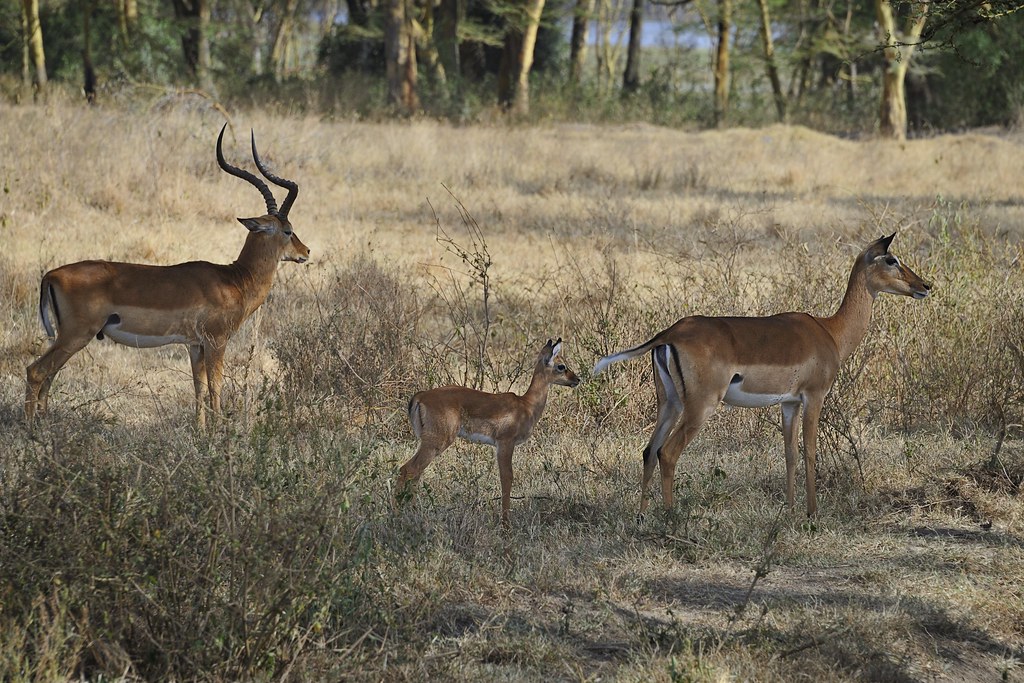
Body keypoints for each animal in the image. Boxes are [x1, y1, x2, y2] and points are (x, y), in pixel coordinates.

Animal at [25, 124, 309, 427]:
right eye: (288, 230)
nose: (306, 251)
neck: (235, 280)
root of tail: (51, 275)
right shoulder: (216, 341)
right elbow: (216, 387)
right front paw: (220, 432)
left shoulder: (195, 345)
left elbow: (199, 388)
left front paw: (201, 432)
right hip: (76, 335)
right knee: (36, 371)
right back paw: (31, 428)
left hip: (68, 338)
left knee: (49, 375)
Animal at [397, 338, 581, 524]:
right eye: (561, 366)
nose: (577, 379)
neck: (526, 405)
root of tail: (420, 396)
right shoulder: (505, 443)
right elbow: (507, 477)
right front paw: (506, 524)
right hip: (437, 442)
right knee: (409, 469)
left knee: (412, 472)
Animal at [593, 234, 931, 517]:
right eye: (892, 260)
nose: (925, 285)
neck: (830, 332)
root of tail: (670, 332)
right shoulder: (814, 397)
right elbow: (810, 452)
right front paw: (812, 514)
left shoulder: (789, 403)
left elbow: (790, 453)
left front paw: (791, 511)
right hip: (701, 406)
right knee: (668, 452)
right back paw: (670, 518)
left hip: (670, 403)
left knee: (649, 450)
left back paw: (641, 516)